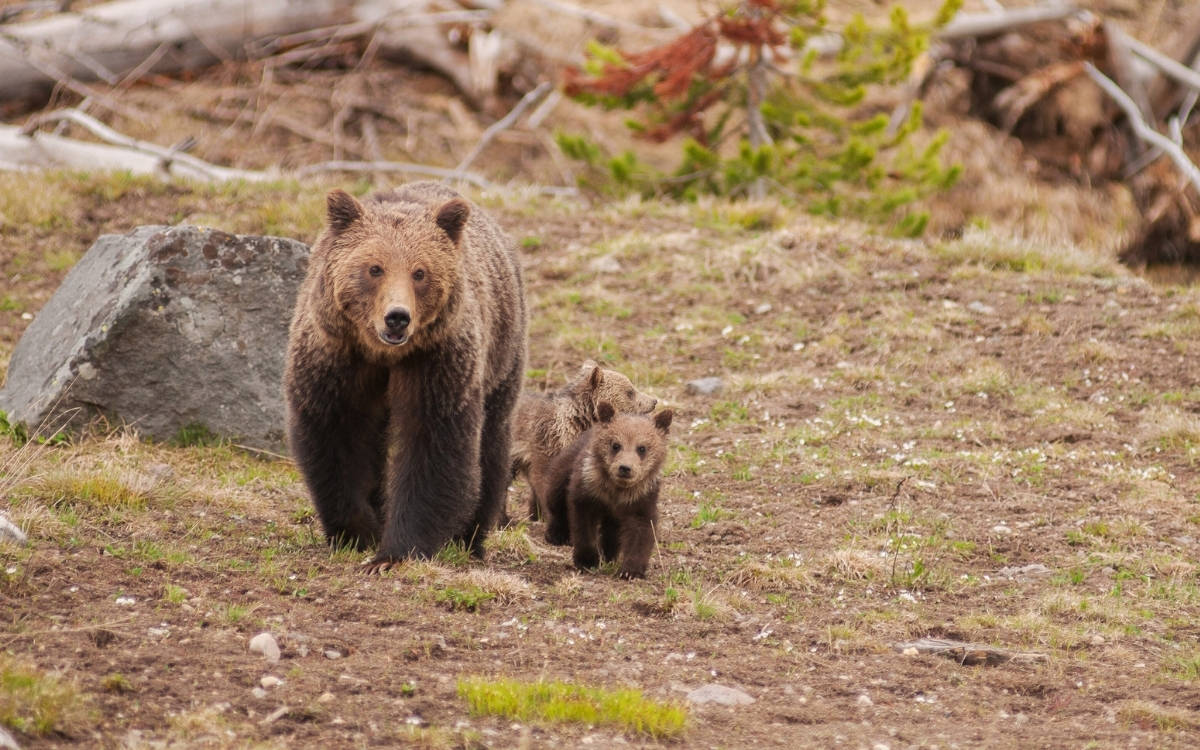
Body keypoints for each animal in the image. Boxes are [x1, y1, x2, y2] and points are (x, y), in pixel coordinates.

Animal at [283, 181, 528, 566]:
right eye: (374, 268)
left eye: (420, 272)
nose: (397, 317)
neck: (382, 354)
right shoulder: (337, 358)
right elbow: (338, 438)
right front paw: (358, 532)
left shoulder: (435, 362)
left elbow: (431, 446)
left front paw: (394, 552)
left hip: (502, 352)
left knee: (491, 442)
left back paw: (469, 537)